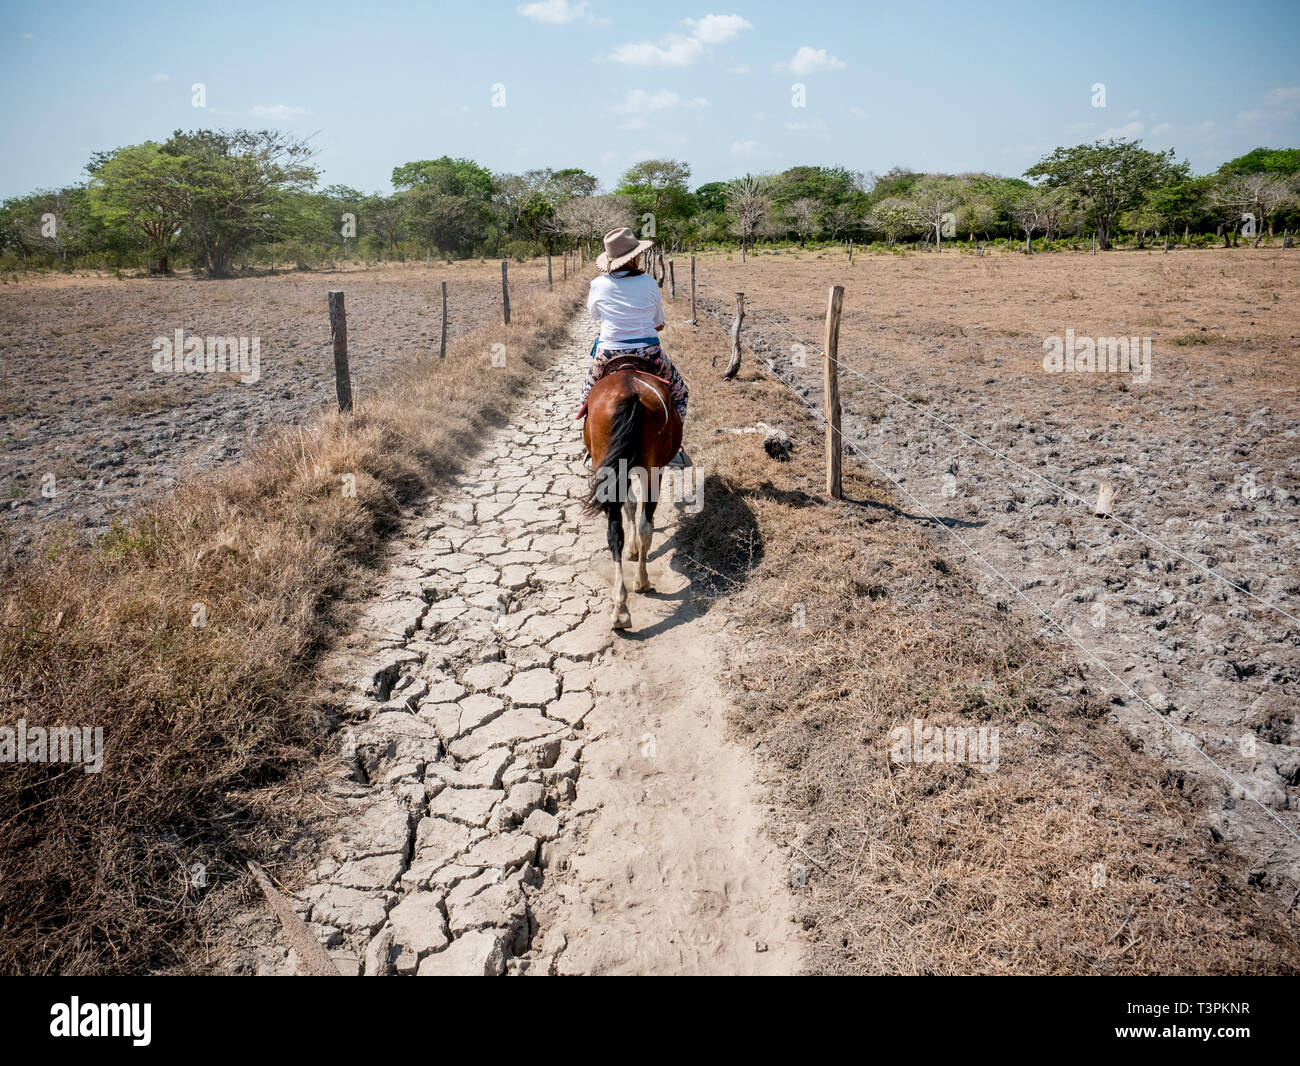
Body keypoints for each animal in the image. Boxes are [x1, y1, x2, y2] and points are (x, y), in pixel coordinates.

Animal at [579, 358, 681, 624]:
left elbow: (629, 505)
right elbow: (633, 505)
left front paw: (632, 549)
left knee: (615, 531)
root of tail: (630, 393)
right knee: (644, 525)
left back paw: (620, 608)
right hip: (652, 470)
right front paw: (635, 550)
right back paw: (639, 584)